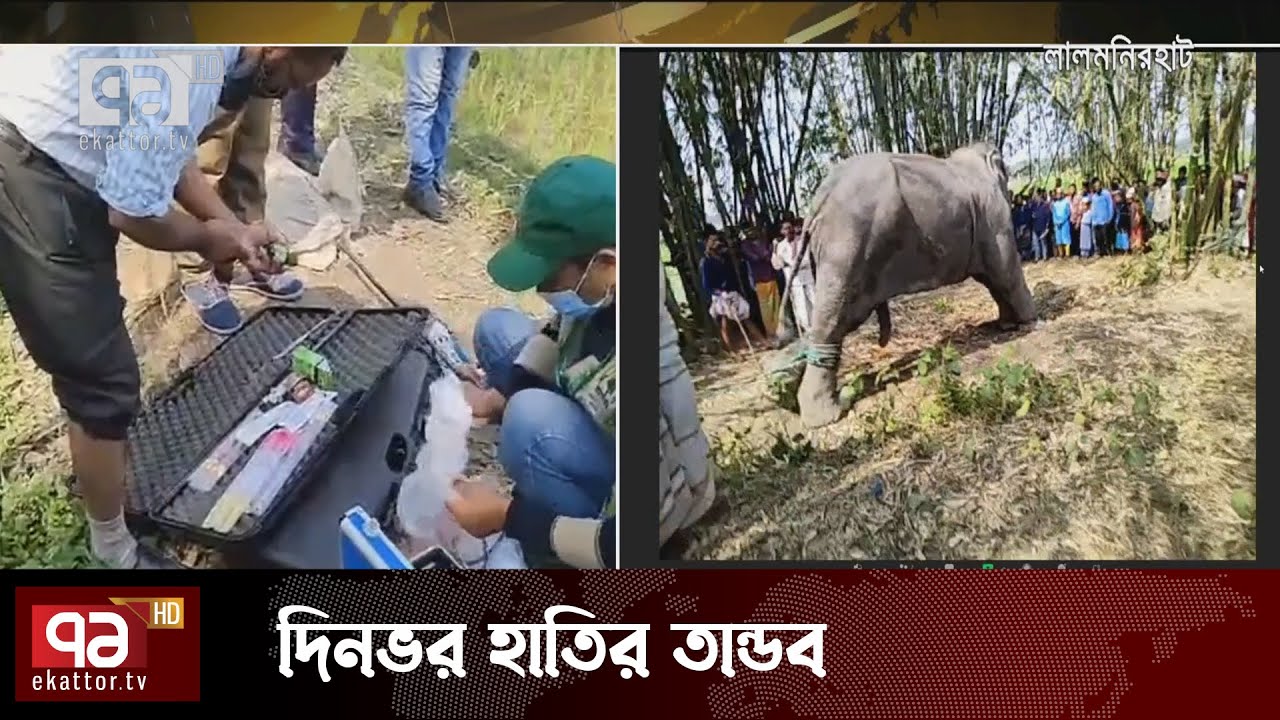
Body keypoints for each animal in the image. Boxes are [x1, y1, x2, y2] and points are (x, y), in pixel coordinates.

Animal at [795, 141, 1038, 428]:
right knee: (833, 319)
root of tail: (819, 198)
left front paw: (1007, 325)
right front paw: (1031, 321)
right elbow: (1005, 269)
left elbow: (991, 279)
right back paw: (824, 417)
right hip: (847, 243)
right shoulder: (994, 217)